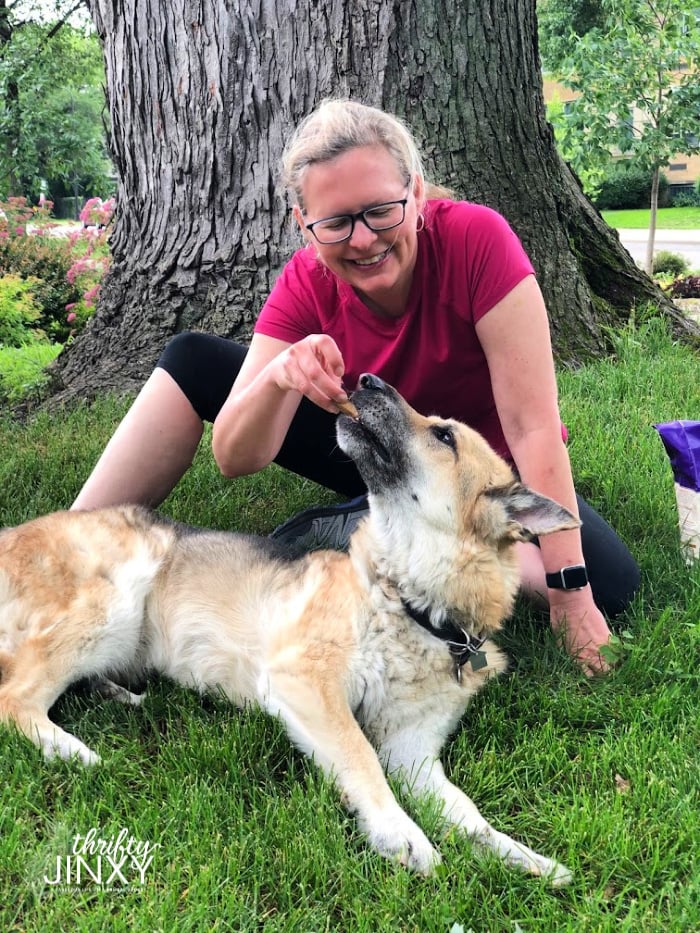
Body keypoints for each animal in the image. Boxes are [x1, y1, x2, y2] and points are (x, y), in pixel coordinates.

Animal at [1, 374, 580, 880]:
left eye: (444, 436)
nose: (366, 380)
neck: (413, 605)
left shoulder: (412, 751)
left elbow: (467, 813)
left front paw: (521, 856)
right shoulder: (306, 683)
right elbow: (360, 756)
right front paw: (401, 832)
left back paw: (116, 694)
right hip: (116, 606)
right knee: (14, 697)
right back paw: (71, 751)